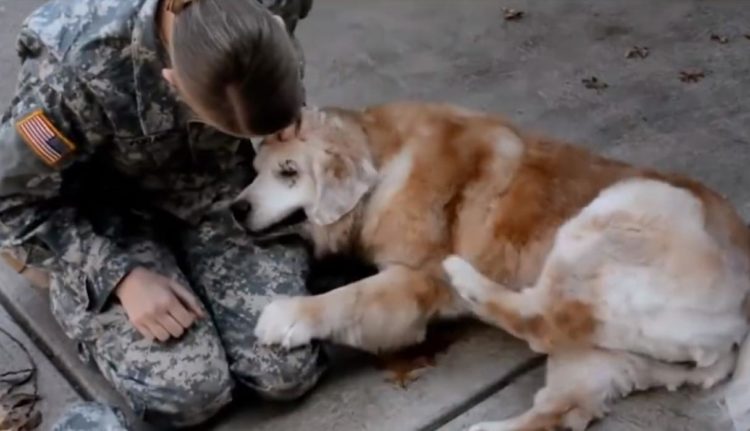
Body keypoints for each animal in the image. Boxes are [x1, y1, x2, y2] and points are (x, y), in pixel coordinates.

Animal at [232, 103, 750, 430]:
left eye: (289, 173)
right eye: (255, 172)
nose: (235, 209)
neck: (382, 159)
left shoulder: (412, 280)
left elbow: (348, 297)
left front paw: (289, 315)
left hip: (625, 208)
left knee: (541, 319)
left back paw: (467, 281)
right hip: (602, 355)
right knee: (562, 409)